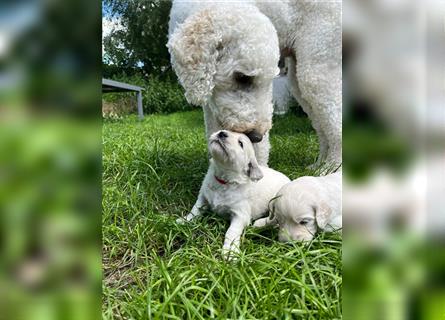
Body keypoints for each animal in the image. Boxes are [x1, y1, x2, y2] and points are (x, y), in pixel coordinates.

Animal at [179, 130, 290, 258]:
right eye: (225, 129)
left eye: (240, 143)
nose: (222, 133)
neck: (224, 180)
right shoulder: (203, 197)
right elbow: (195, 210)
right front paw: (184, 220)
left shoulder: (240, 215)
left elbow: (231, 232)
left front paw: (230, 252)